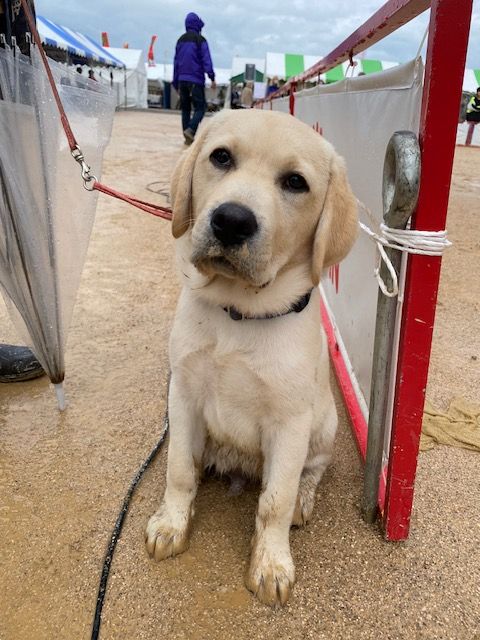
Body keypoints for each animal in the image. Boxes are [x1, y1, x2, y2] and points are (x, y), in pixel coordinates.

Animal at [146, 109, 358, 606]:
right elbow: (178, 469)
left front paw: (272, 564)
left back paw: (304, 498)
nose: (231, 221)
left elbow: (273, 502)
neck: (238, 312)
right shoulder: (182, 393)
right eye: (221, 157)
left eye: (296, 182)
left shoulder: (290, 421)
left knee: (311, 470)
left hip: (325, 423)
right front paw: (171, 523)